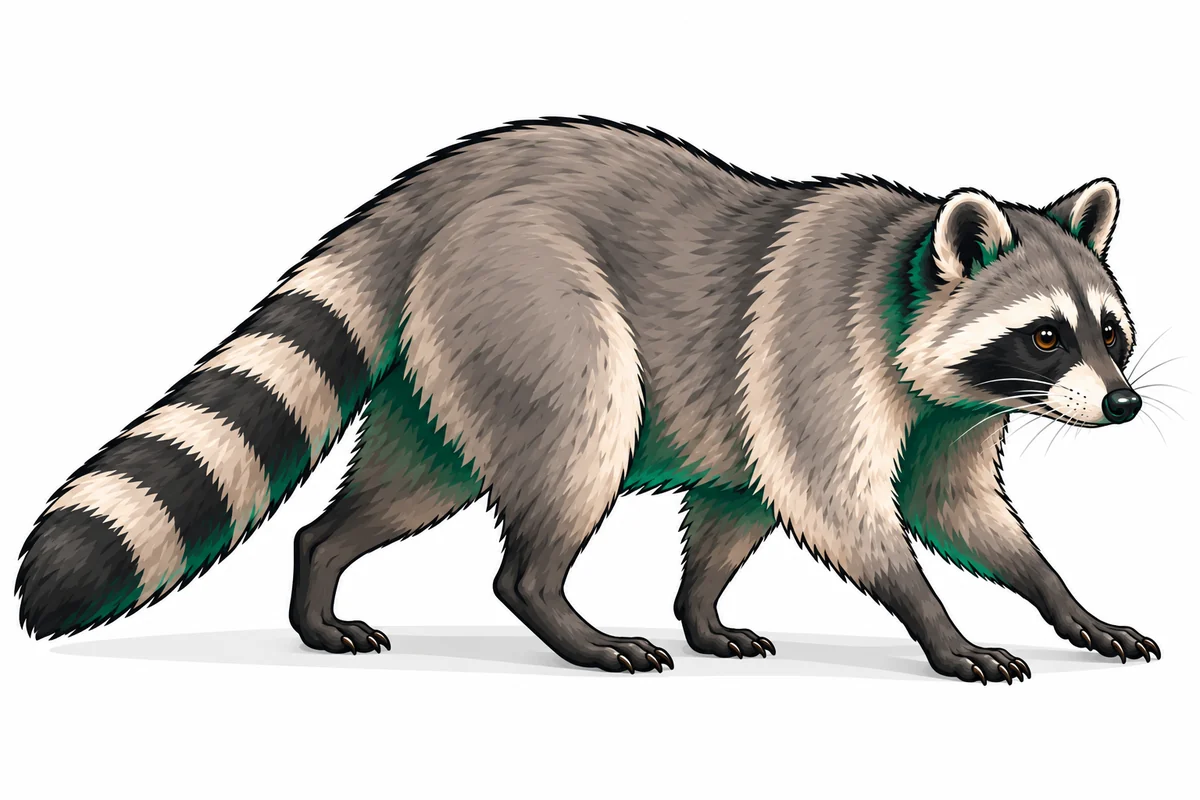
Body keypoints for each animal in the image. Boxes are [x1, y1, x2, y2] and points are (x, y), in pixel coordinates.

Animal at [16, 117, 1159, 683]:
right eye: (1045, 333)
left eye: (1110, 332)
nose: (1123, 407)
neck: (901, 269)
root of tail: (435, 187)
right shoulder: (818, 351)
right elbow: (841, 504)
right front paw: (942, 626)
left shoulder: (939, 409)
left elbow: (924, 507)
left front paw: (1068, 601)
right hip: (532, 306)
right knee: (575, 444)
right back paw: (557, 609)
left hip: (448, 362)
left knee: (407, 482)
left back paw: (320, 574)